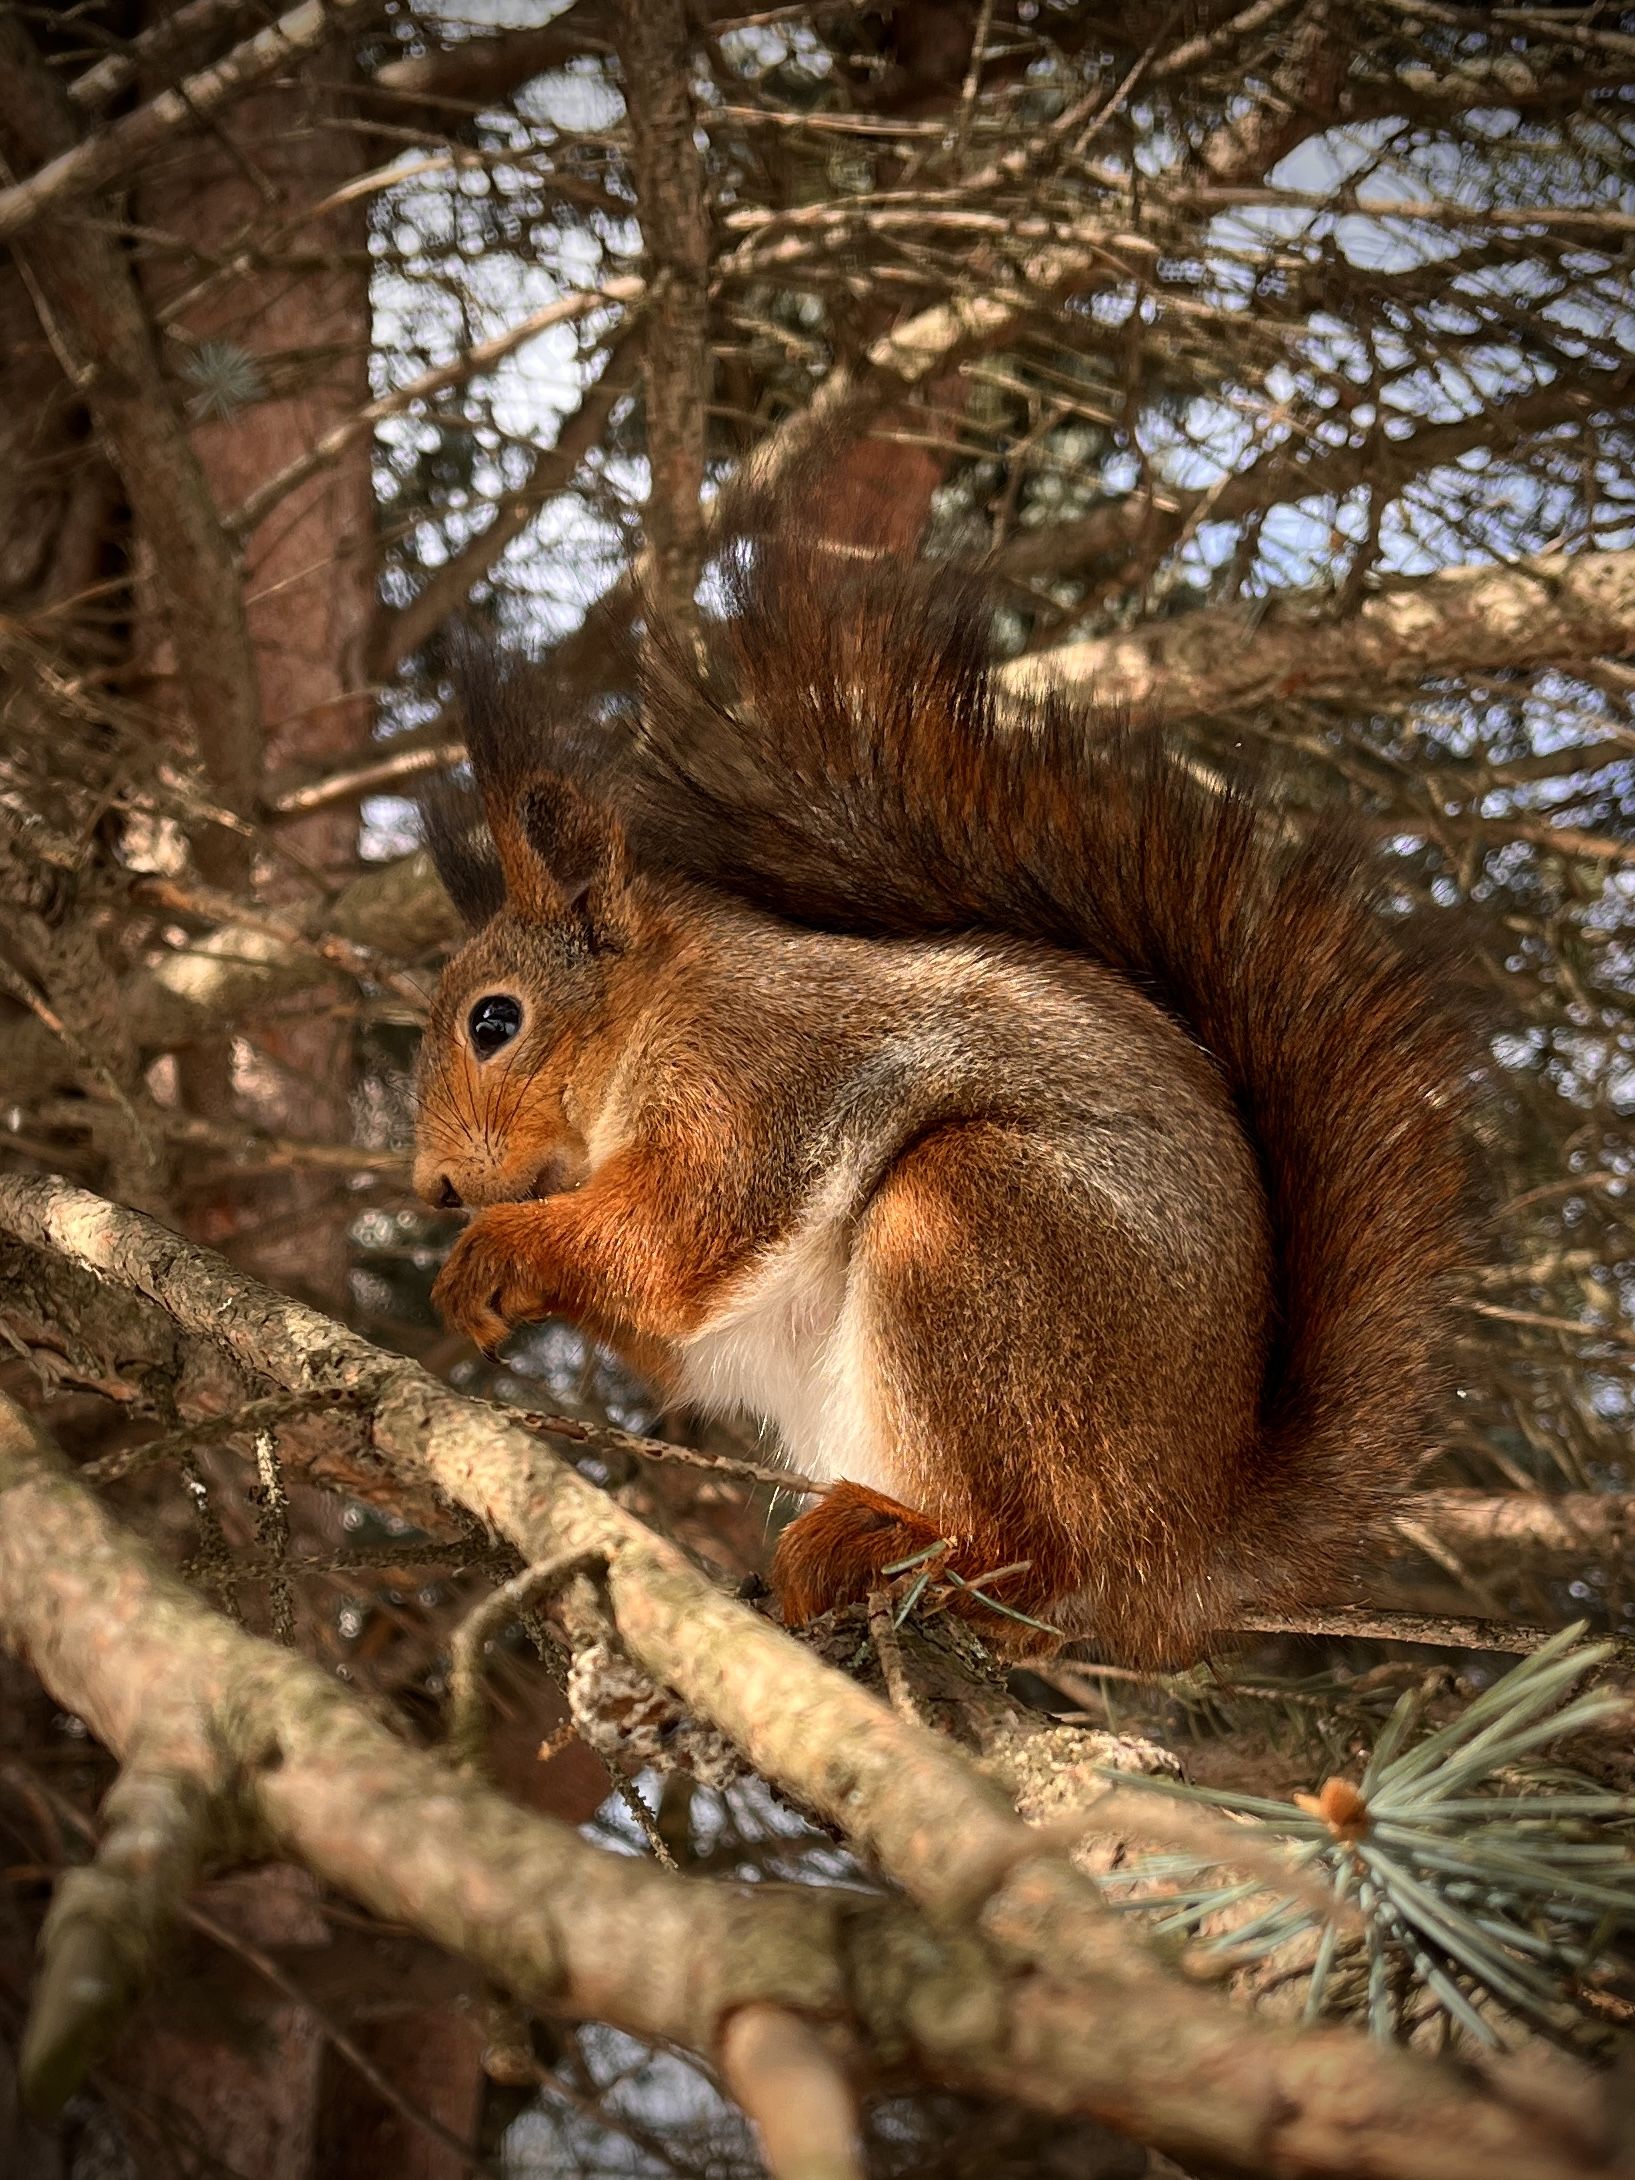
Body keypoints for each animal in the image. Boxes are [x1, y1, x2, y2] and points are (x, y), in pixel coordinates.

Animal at [412, 514, 1482, 1665]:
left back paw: (901, 1545)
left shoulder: (756, 1074)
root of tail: (1188, 1543)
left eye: (493, 1021)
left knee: (1031, 1555)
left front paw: (495, 1252)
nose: (433, 1189)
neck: (657, 1011)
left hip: (977, 1230)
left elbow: (678, 1233)